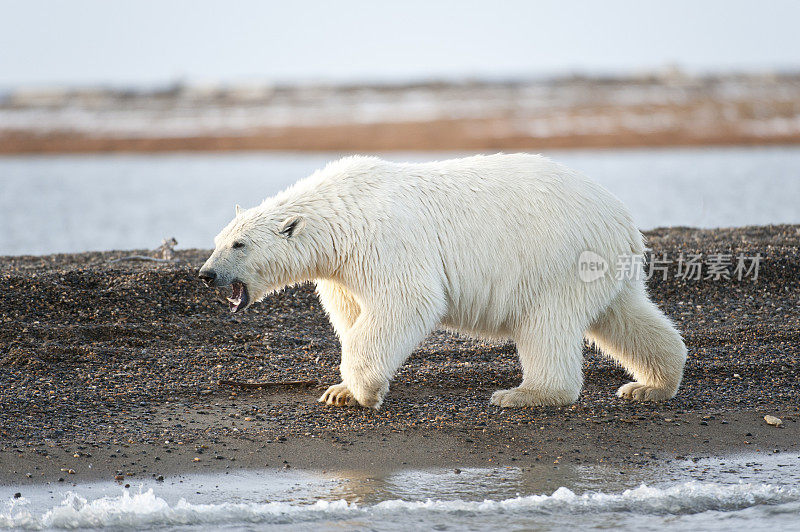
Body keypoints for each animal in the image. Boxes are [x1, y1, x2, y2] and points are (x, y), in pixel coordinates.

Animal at [197, 152, 684, 410]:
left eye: (239, 244)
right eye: (218, 240)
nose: (206, 274)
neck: (341, 214)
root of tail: (621, 218)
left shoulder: (385, 240)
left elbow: (406, 301)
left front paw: (363, 392)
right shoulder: (342, 270)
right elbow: (352, 314)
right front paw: (339, 391)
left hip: (558, 258)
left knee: (545, 324)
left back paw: (523, 393)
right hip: (604, 267)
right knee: (626, 315)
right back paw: (651, 384)